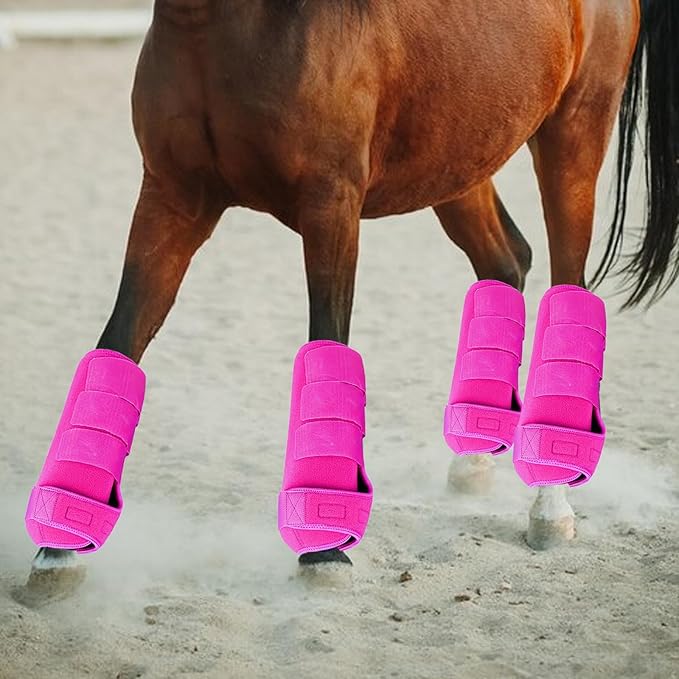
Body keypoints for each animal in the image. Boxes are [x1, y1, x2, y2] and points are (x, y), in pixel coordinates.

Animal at [27, 0, 679, 591]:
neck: (228, 23)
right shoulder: (172, 198)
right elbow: (119, 342)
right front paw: (59, 551)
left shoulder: (331, 208)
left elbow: (328, 341)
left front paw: (323, 551)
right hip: (462, 161)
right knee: (506, 261)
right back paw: (474, 461)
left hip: (574, 136)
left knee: (568, 285)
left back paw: (550, 505)